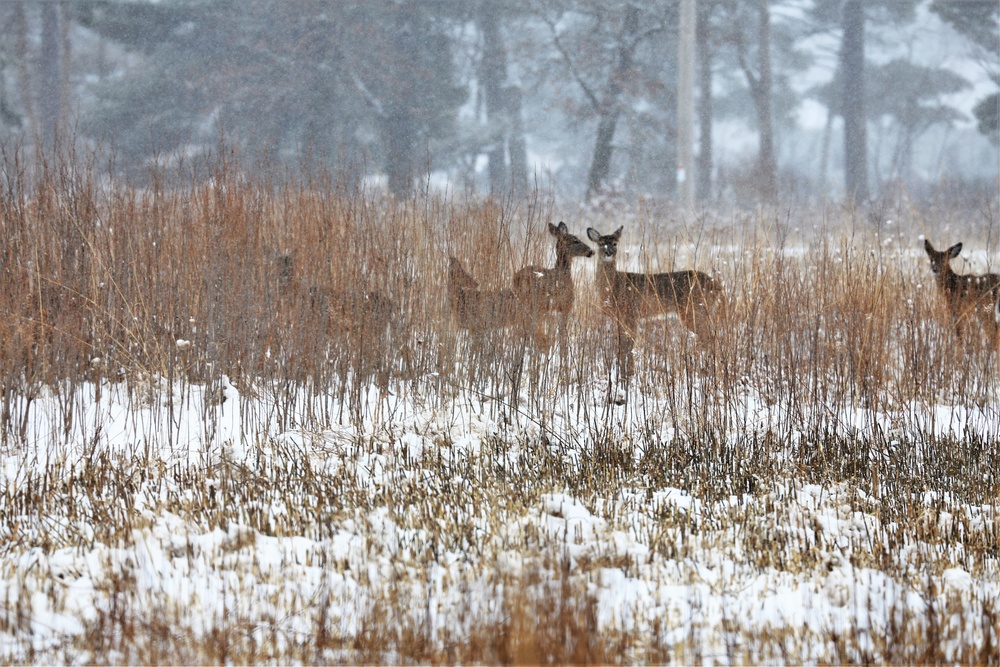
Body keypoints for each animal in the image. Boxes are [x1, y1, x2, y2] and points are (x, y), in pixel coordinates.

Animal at [584, 227, 728, 376]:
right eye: (601, 243)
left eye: (614, 243)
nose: (609, 253)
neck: (613, 286)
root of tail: (717, 285)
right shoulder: (623, 319)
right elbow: (624, 345)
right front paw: (626, 373)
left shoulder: (631, 314)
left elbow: (628, 346)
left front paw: (628, 375)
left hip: (693, 311)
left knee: (708, 337)